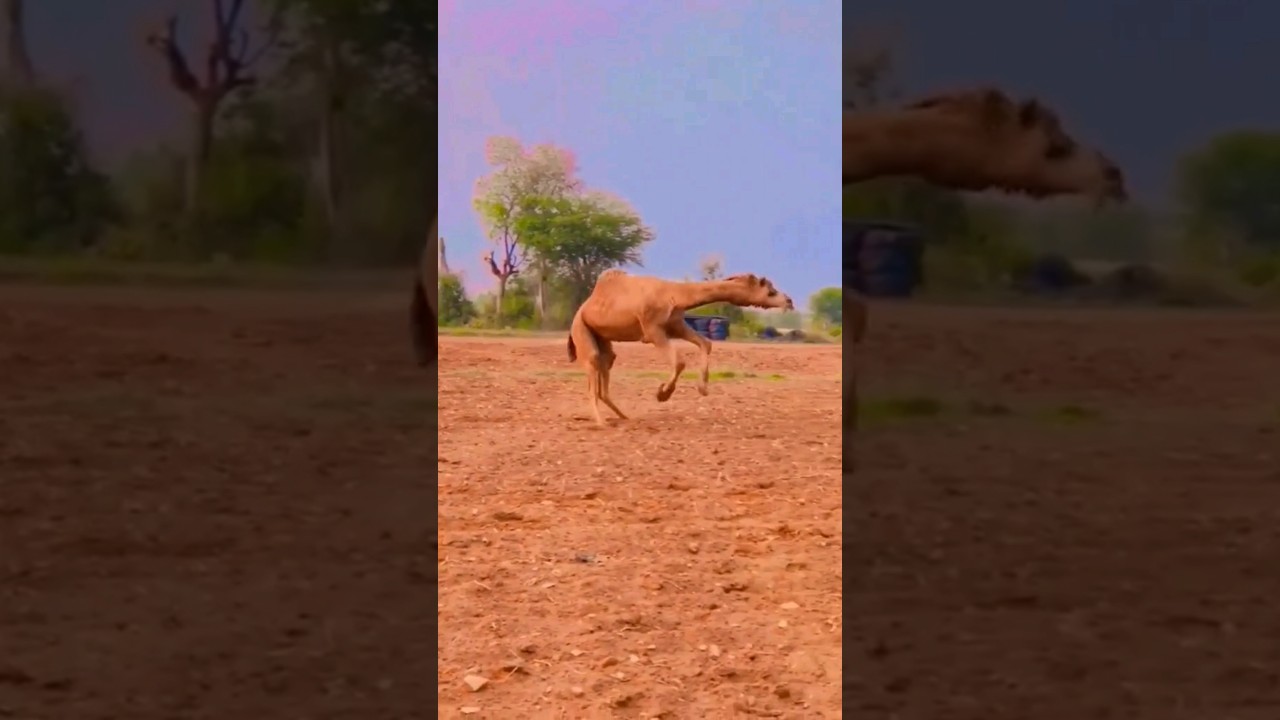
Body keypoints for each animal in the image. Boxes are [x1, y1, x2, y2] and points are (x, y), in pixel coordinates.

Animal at [566, 269, 795, 426]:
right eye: (770, 290)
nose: (789, 301)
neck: (673, 295)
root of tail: (583, 308)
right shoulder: (652, 330)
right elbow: (680, 361)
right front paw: (662, 394)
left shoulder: (676, 325)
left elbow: (706, 343)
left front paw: (703, 388)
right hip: (581, 329)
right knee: (593, 364)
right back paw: (601, 422)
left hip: (603, 337)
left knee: (607, 362)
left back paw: (625, 417)